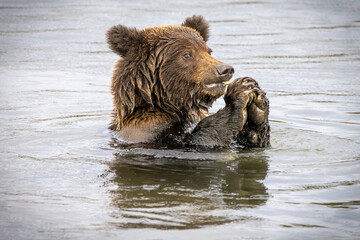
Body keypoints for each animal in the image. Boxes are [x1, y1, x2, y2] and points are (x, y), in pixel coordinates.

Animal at [107, 15, 270, 148]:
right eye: (186, 54)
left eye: (208, 51)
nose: (226, 69)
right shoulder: (146, 132)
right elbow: (202, 139)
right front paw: (238, 94)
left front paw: (257, 106)